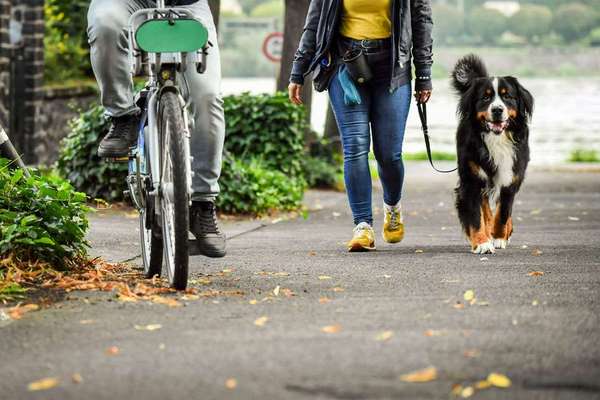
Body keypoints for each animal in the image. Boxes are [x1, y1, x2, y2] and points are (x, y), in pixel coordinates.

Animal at [452, 54, 532, 255]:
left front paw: (499, 237)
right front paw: (481, 242)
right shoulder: (471, 179)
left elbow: (503, 212)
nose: (497, 110)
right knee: (484, 206)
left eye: (507, 96)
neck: (496, 139)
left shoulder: (512, 176)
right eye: (486, 97)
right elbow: (475, 215)